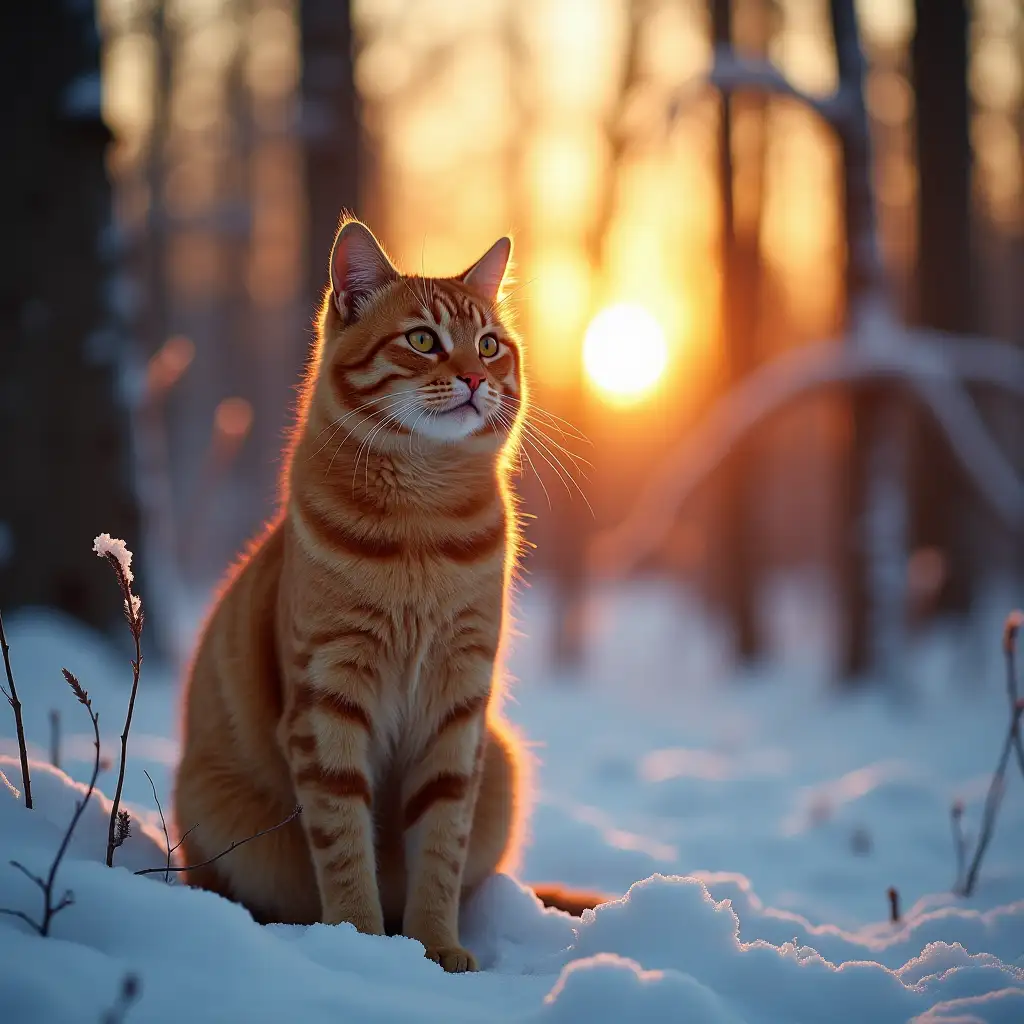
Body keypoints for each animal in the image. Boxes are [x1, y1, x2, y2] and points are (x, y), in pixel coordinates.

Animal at [172, 220, 602, 970]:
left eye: (489, 344)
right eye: (423, 340)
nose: (475, 377)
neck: (421, 532)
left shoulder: (458, 702)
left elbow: (441, 843)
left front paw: (435, 947)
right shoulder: (330, 696)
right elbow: (344, 840)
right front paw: (364, 946)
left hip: (501, 762)